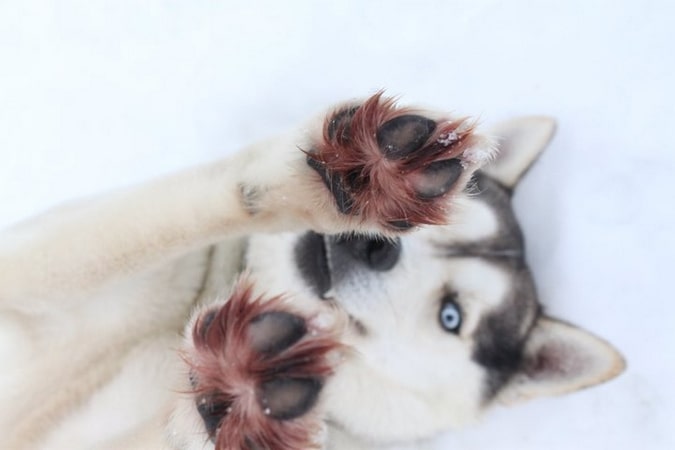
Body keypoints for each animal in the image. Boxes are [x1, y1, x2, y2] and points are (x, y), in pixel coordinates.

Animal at [0, 92, 624, 450]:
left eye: (452, 316)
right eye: (434, 226)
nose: (374, 248)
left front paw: (236, 397)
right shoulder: (33, 269)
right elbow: (137, 230)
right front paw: (330, 182)